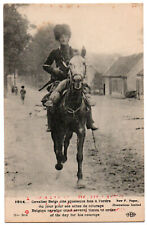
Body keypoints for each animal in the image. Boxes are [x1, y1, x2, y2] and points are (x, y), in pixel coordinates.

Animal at [48, 54, 88, 186]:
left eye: (84, 63)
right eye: (70, 64)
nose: (77, 80)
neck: (73, 104)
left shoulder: (81, 131)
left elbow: (79, 155)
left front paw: (80, 179)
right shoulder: (60, 129)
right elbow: (58, 148)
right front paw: (59, 164)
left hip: (69, 131)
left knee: (66, 142)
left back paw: (64, 159)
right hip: (54, 129)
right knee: (56, 145)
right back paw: (59, 162)